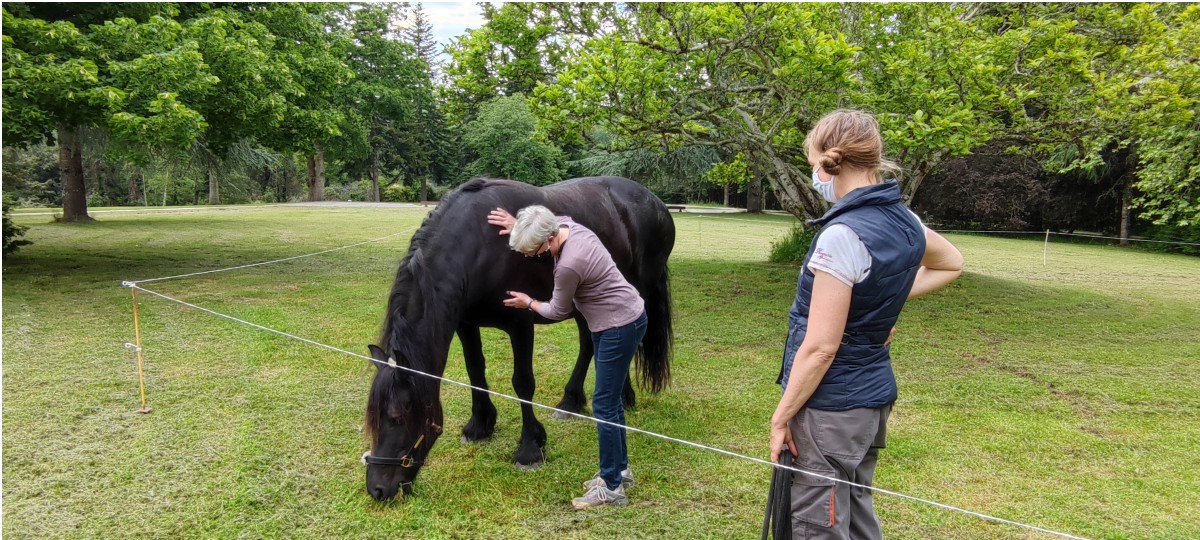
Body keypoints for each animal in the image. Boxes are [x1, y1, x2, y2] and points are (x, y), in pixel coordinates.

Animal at [360, 178, 676, 501]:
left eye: (397, 417)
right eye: (372, 419)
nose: (377, 488)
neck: (478, 245)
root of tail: (655, 202)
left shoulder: (521, 325)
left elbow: (523, 383)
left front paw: (530, 449)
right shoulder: (466, 324)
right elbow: (475, 371)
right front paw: (480, 425)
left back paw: (623, 397)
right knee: (590, 344)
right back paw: (571, 402)